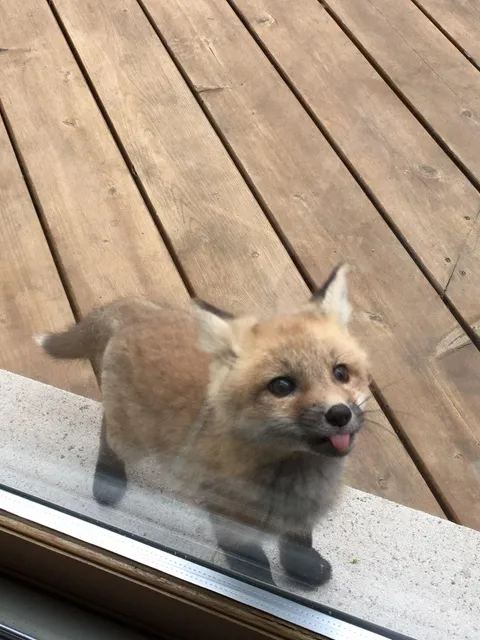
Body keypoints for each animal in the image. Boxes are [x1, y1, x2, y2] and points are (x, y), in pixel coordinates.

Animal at [36, 264, 370, 587]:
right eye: (282, 386)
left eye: (341, 373)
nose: (339, 414)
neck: (291, 478)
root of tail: (140, 312)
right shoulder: (228, 519)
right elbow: (254, 566)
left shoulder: (301, 516)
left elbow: (298, 543)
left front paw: (304, 569)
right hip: (131, 440)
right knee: (108, 433)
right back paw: (108, 479)